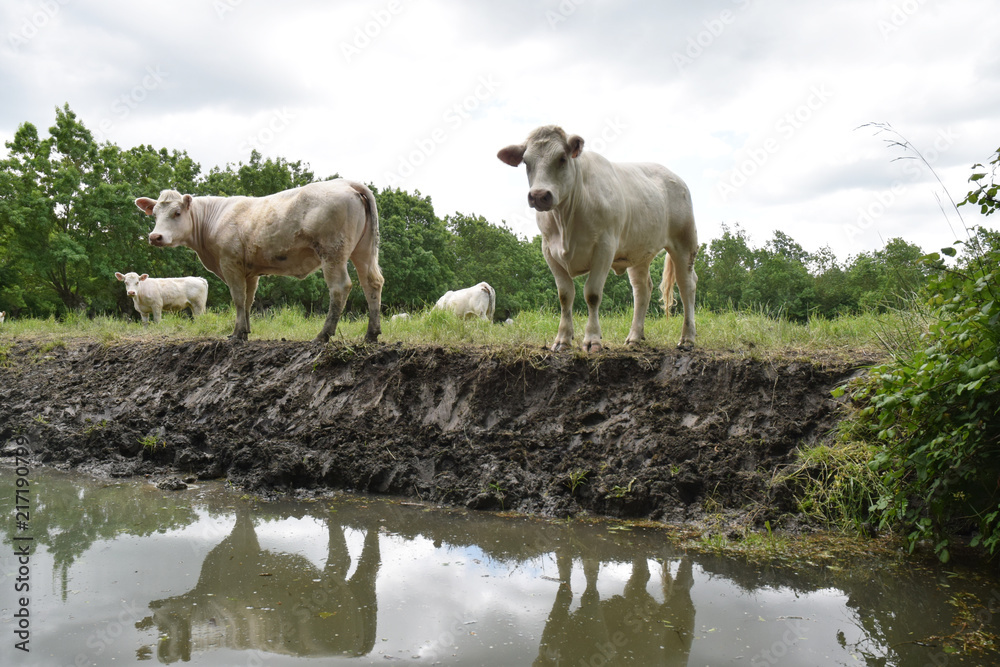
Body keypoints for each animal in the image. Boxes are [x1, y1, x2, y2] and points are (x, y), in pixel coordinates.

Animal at [135, 180, 383, 343]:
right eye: (154, 214)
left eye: (177, 213)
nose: (155, 237)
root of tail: (346, 182)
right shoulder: (251, 271)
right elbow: (248, 301)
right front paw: (245, 332)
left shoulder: (230, 264)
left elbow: (237, 299)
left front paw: (236, 334)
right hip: (363, 251)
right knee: (372, 283)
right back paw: (371, 335)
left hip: (332, 252)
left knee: (340, 287)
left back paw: (323, 335)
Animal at [498, 125, 698, 351]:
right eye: (526, 162)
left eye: (562, 158)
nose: (539, 195)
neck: (566, 221)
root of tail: (673, 176)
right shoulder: (549, 250)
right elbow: (565, 295)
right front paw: (562, 339)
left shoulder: (605, 247)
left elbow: (592, 294)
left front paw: (592, 339)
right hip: (639, 251)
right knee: (642, 290)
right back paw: (634, 337)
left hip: (684, 241)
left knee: (687, 285)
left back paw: (687, 338)